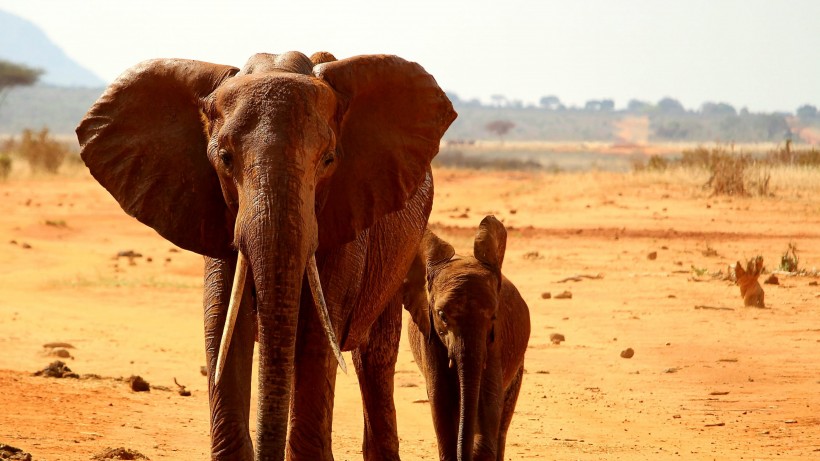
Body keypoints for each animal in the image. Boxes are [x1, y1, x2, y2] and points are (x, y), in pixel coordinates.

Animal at [404, 216, 532, 460]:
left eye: (493, 316)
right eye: (442, 315)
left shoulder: (495, 343)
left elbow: (488, 404)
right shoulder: (429, 337)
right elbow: (440, 403)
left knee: (502, 422)